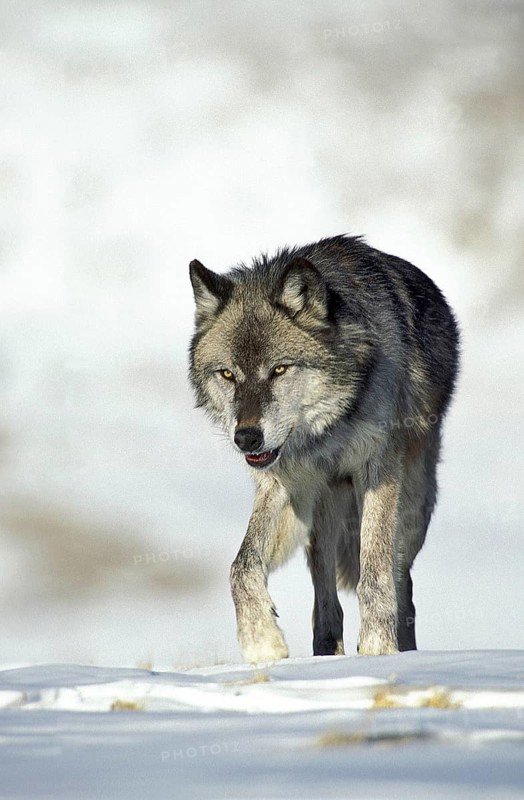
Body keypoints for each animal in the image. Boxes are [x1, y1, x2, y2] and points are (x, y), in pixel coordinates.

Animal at [188, 235, 459, 662]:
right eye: (228, 374)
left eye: (279, 369)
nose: (246, 437)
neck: (327, 431)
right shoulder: (282, 481)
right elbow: (240, 566)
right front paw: (261, 642)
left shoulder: (378, 471)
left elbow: (375, 574)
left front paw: (378, 649)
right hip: (318, 511)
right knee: (324, 588)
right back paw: (326, 649)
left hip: (412, 505)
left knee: (402, 582)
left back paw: (405, 649)